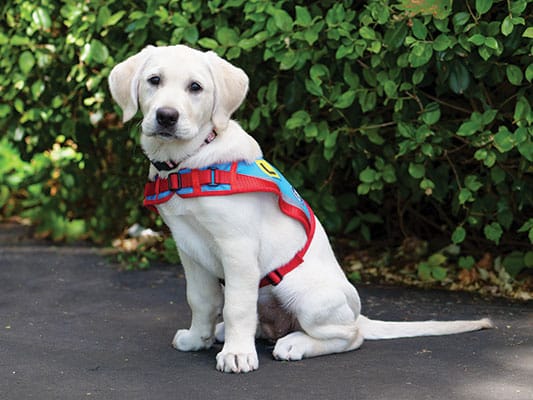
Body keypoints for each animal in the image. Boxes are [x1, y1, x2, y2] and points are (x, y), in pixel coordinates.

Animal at [107, 45, 490, 374]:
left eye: (195, 87)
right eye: (154, 80)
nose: (166, 116)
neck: (191, 162)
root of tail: (356, 314)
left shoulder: (237, 248)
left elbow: (237, 306)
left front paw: (237, 354)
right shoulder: (189, 248)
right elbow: (201, 299)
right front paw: (197, 338)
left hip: (299, 288)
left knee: (349, 336)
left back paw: (294, 343)